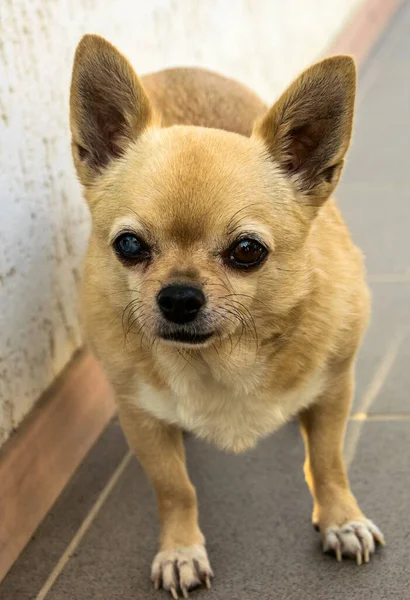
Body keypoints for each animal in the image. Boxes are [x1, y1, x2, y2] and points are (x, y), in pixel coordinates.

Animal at [69, 35, 384, 596]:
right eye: (128, 245)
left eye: (247, 251)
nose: (178, 296)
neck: (222, 358)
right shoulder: (140, 418)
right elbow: (175, 488)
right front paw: (180, 549)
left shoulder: (335, 388)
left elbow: (328, 461)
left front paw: (341, 519)